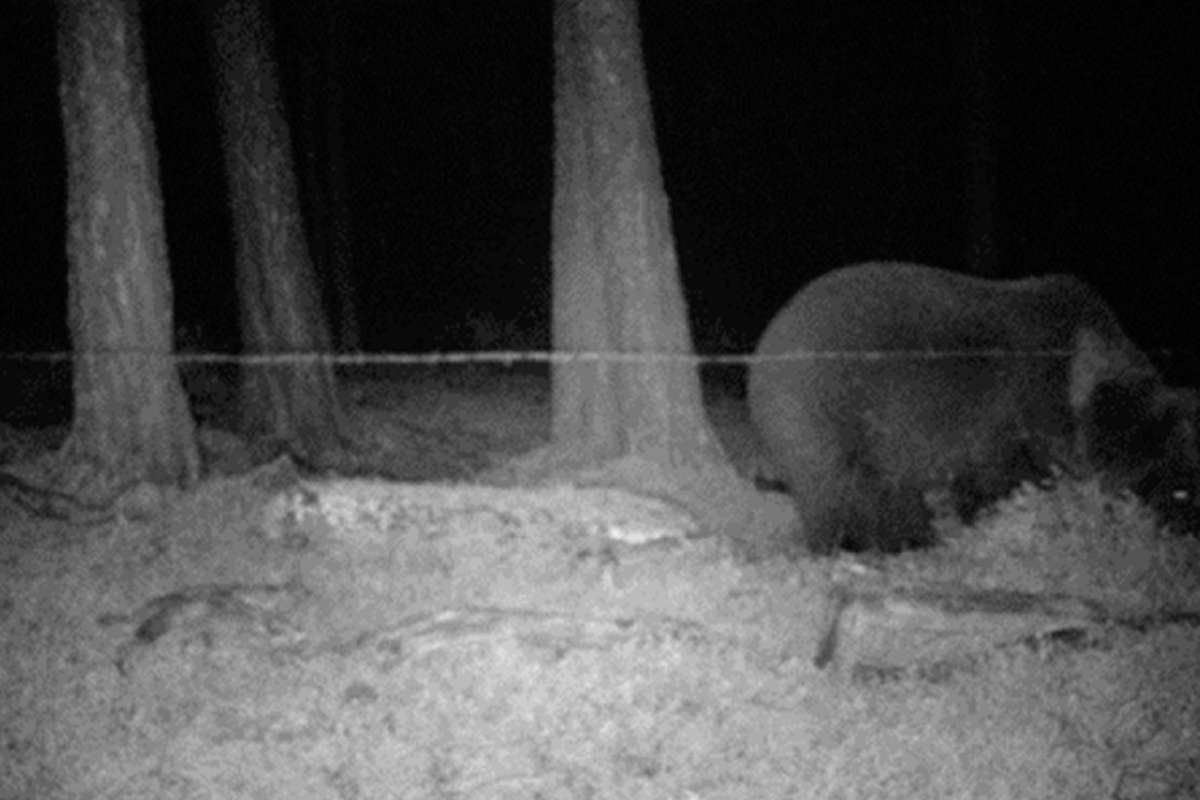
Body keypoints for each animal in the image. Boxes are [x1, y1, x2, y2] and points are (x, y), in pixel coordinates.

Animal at [748, 261, 1200, 551]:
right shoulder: (1014, 412)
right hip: (826, 408)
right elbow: (1000, 476)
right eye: (1157, 471)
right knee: (836, 488)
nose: (1179, 522)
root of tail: (764, 350)